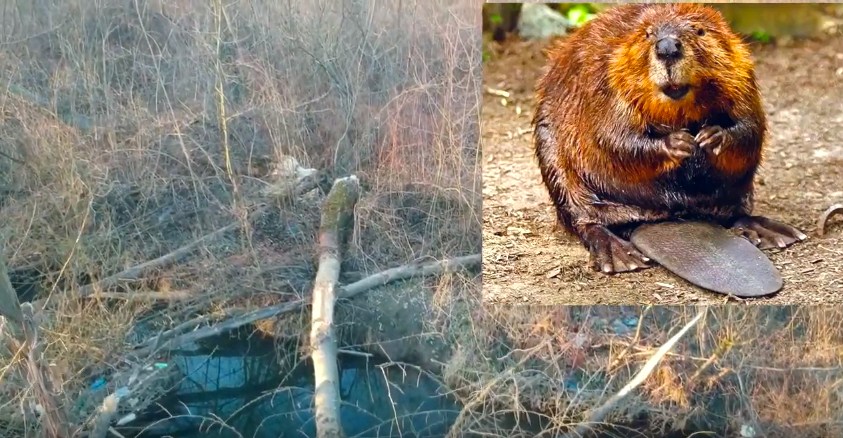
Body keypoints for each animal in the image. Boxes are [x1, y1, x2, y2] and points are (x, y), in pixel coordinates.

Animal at [536, 4, 808, 274]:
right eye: (647, 34)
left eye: (700, 31)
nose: (667, 48)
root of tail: (654, 217)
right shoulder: (604, 78)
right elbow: (613, 137)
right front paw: (678, 142)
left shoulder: (742, 71)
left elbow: (751, 126)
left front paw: (712, 137)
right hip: (553, 156)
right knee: (585, 220)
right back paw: (621, 255)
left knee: (733, 213)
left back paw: (775, 232)